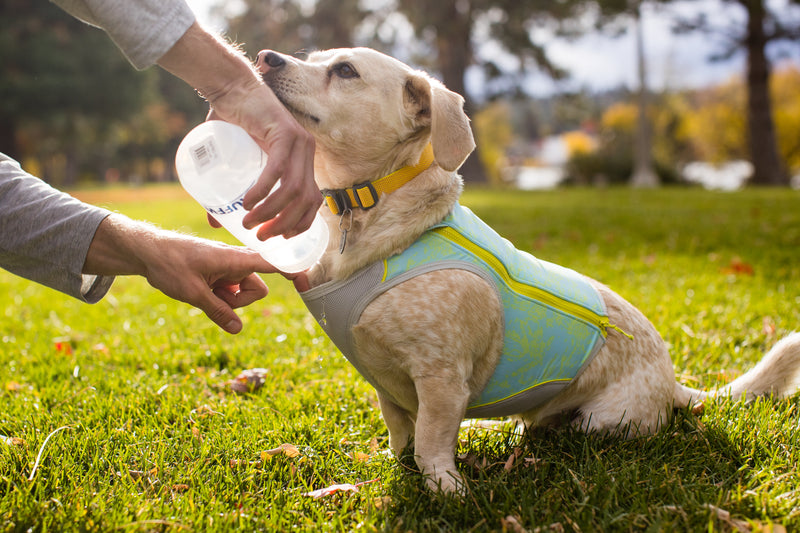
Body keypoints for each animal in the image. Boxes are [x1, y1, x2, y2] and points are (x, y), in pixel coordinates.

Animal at [255, 47, 800, 492]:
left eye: (345, 70)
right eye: (313, 57)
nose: (264, 57)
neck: (364, 215)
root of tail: (673, 384)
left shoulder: (441, 379)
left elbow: (431, 443)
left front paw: (446, 490)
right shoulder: (386, 384)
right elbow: (401, 436)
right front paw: (401, 467)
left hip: (601, 422)